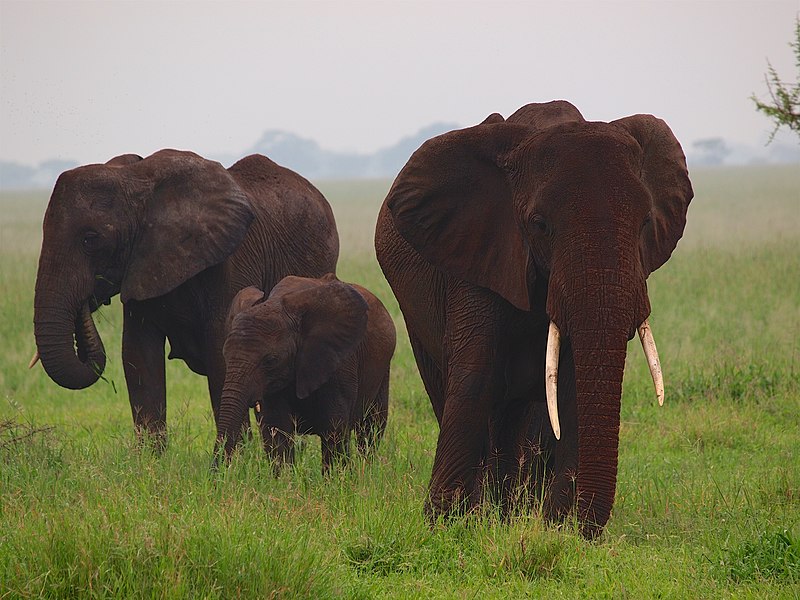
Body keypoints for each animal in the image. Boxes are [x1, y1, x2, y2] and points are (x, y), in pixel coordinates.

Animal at [32, 150, 340, 450]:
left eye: (90, 239)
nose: (86, 302)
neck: (134, 179)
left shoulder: (229, 261)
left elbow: (222, 352)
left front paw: (236, 458)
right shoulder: (141, 264)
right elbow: (138, 356)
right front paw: (151, 460)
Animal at [216, 274, 396, 472]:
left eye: (270, 360)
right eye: (225, 356)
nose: (217, 474)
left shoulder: (339, 361)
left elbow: (334, 428)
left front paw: (338, 478)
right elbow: (277, 428)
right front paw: (285, 478)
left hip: (383, 369)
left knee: (371, 429)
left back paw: (368, 469)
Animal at [376, 99, 692, 540]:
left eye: (646, 223)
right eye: (539, 225)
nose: (576, 527)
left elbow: (571, 385)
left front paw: (555, 523)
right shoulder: (480, 248)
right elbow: (475, 373)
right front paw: (444, 521)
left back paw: (507, 512)